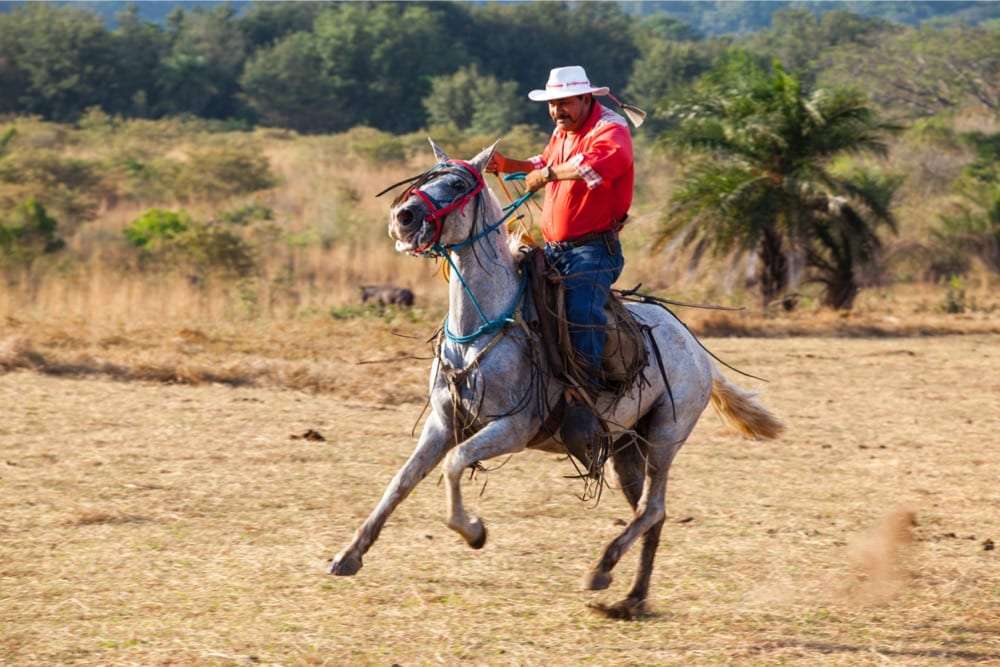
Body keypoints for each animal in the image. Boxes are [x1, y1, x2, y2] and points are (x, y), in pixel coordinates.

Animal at [328, 139, 784, 619]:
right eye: (425, 178)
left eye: (456, 184)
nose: (403, 217)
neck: (482, 327)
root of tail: (699, 354)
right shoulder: (442, 423)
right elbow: (400, 483)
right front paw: (349, 555)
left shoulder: (512, 427)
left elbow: (454, 464)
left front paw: (474, 531)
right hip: (625, 448)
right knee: (651, 514)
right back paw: (633, 596)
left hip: (663, 436)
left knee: (652, 507)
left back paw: (602, 570)